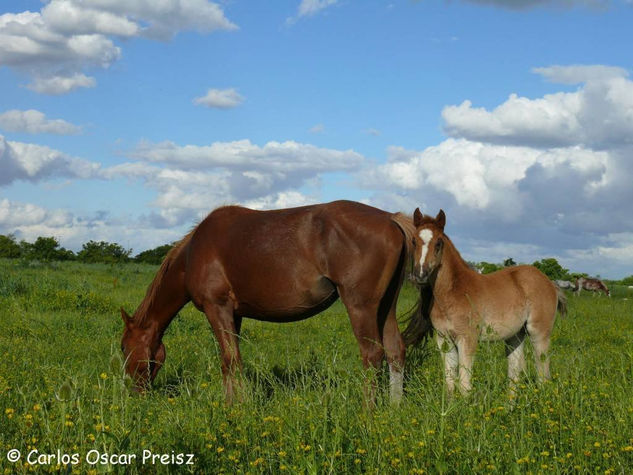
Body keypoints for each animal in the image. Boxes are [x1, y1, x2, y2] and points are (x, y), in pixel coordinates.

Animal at [120, 201, 418, 406]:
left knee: (373, 355)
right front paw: (233, 402)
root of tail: (390, 219)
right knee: (395, 350)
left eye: (124, 348)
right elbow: (231, 359)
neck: (194, 252)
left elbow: (230, 359)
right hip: (386, 307)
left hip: (361, 307)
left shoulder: (217, 308)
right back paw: (394, 407)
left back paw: (368, 411)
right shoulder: (234, 314)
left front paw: (237, 406)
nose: (135, 393)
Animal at [404, 210, 568, 396]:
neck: (452, 292)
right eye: (413, 241)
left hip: (538, 332)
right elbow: (450, 384)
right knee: (515, 374)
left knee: (543, 372)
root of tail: (550, 282)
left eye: (439, 242)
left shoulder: (467, 338)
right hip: (515, 335)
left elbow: (464, 384)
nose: (420, 274)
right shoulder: (443, 340)